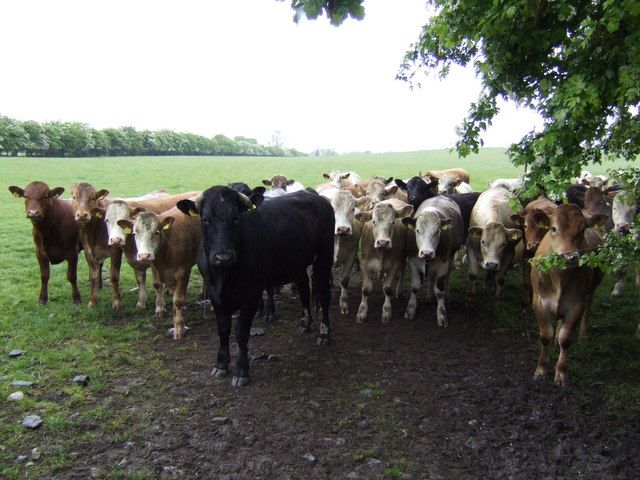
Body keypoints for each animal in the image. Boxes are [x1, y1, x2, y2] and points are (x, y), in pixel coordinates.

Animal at [118, 204, 202, 339]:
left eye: (156, 232)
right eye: (135, 233)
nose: (144, 256)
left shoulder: (184, 272)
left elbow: (178, 300)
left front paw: (179, 328)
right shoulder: (155, 266)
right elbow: (157, 285)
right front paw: (161, 310)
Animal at [177, 187, 334, 387]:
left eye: (236, 218)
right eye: (205, 219)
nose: (223, 257)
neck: (224, 276)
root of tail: (314, 195)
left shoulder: (251, 294)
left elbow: (242, 332)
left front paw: (241, 371)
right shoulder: (215, 296)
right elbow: (223, 329)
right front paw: (221, 364)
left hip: (325, 256)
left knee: (324, 295)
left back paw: (324, 334)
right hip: (297, 262)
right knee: (304, 290)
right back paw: (305, 324)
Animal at [403, 196, 464, 325]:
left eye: (438, 231)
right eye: (417, 230)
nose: (427, 253)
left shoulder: (443, 265)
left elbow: (439, 291)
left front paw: (441, 314)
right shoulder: (413, 262)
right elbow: (415, 287)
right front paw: (411, 308)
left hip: (450, 258)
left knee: (447, 276)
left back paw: (447, 296)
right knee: (432, 278)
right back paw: (429, 296)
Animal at [531, 204, 608, 386]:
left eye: (582, 229)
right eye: (553, 228)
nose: (568, 256)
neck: (560, 278)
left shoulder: (576, 304)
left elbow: (566, 339)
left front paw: (561, 374)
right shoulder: (539, 301)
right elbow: (545, 335)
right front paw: (541, 369)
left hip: (590, 291)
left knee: (587, 309)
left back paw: (583, 334)